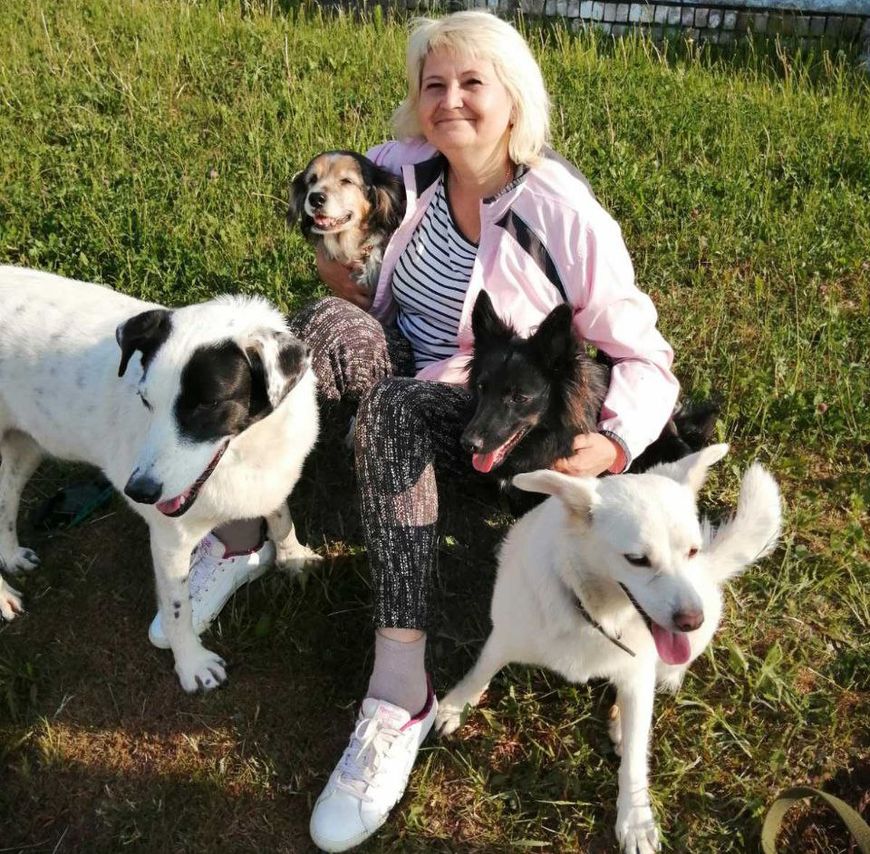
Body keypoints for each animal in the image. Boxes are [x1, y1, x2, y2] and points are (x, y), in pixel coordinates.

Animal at [0, 266, 319, 693]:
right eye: (145, 400)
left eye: (206, 404)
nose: (139, 491)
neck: (250, 448)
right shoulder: (170, 539)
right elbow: (177, 608)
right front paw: (192, 665)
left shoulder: (269, 479)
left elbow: (281, 518)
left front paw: (293, 556)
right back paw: (2, 596)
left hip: (26, 446)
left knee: (5, 498)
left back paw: (10, 555)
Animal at [436, 445, 782, 852]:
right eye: (637, 560)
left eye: (692, 551)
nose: (691, 620)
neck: (594, 614)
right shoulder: (505, 633)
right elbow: (481, 670)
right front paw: (456, 705)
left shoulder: (639, 674)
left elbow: (634, 759)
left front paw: (635, 818)